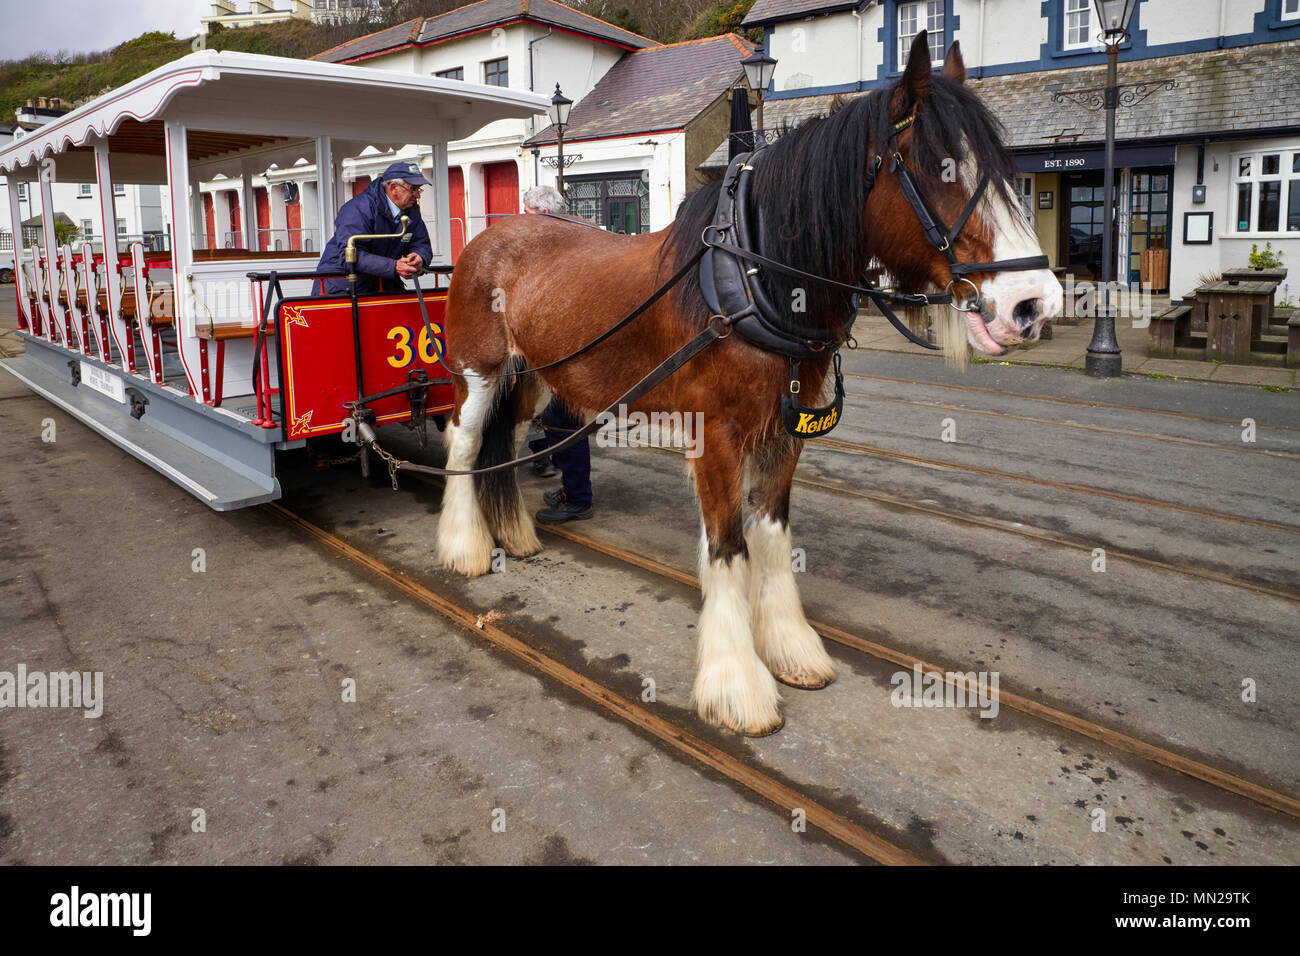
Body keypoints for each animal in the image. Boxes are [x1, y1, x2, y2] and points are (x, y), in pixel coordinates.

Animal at [433, 32, 1063, 736]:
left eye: (1005, 169)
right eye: (943, 169)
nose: (1036, 304)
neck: (754, 280)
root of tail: (492, 234)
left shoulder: (785, 434)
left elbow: (771, 535)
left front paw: (790, 647)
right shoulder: (716, 438)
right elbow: (729, 547)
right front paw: (737, 684)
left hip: (535, 378)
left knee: (508, 445)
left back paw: (512, 533)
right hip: (479, 370)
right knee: (464, 444)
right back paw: (463, 546)